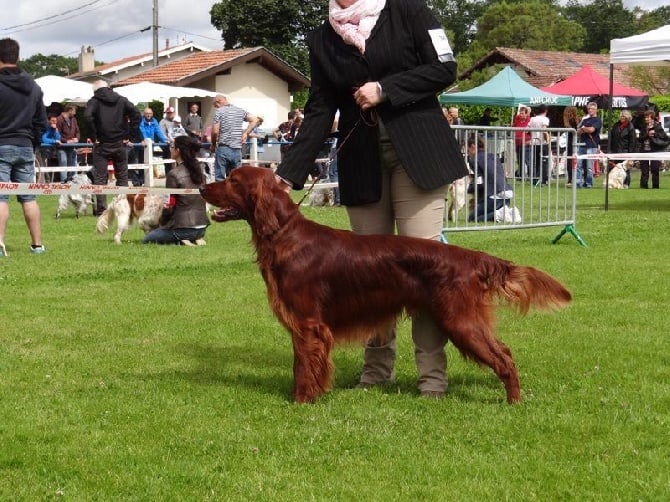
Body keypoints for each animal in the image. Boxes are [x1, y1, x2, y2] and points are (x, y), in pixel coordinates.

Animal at [200, 168, 572, 404]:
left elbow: (305, 367)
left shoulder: (308, 324)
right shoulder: (304, 326)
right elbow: (301, 365)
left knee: (504, 357)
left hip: (460, 320)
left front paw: (302, 401)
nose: (201, 187)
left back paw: (514, 402)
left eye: (232, 179)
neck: (284, 235)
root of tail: (472, 258)